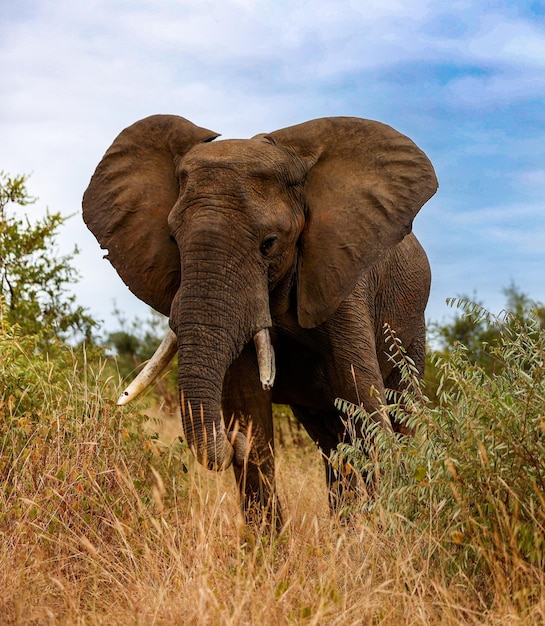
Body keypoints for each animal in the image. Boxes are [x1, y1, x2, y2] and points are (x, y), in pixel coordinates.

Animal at [82, 113, 438, 528]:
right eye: (172, 239)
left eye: (269, 244)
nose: (229, 439)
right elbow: (247, 404)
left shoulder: (342, 274)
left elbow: (362, 401)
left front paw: (387, 534)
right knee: (331, 440)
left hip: (413, 326)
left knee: (397, 414)